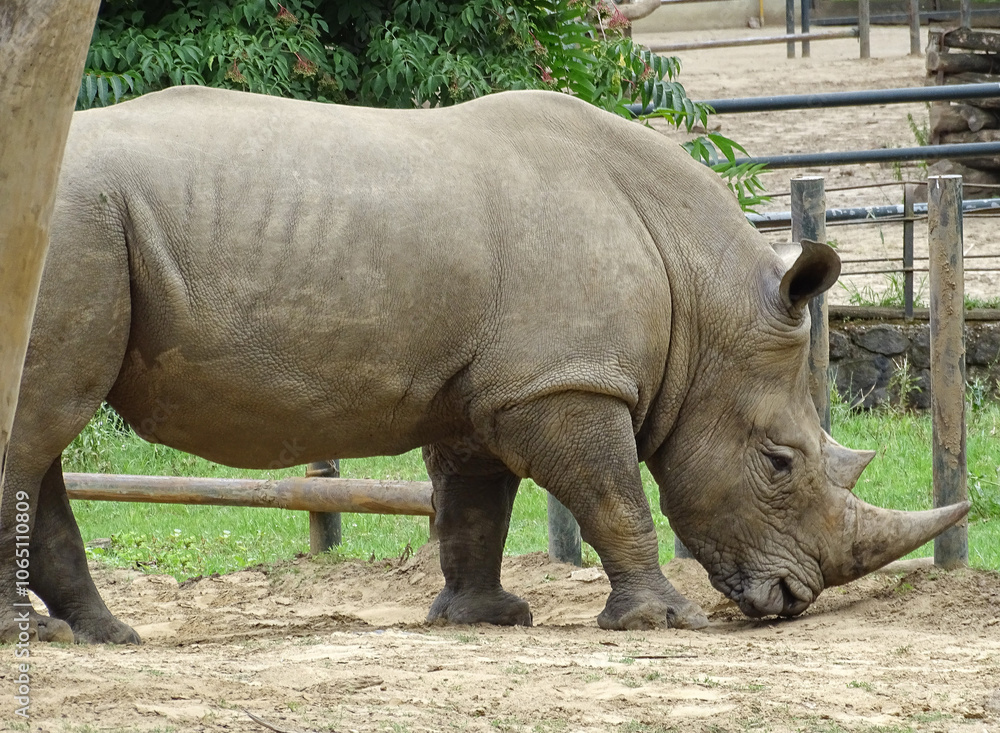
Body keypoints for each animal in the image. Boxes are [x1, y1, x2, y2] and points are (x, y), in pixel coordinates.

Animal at [1, 87, 968, 644]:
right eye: (779, 464)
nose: (793, 599)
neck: (701, 299)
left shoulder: (492, 387)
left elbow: (475, 504)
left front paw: (483, 620)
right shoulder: (564, 381)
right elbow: (615, 496)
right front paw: (664, 620)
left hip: (82, 228)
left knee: (41, 431)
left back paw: (104, 635)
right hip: (72, 230)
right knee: (42, 424)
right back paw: (39, 638)